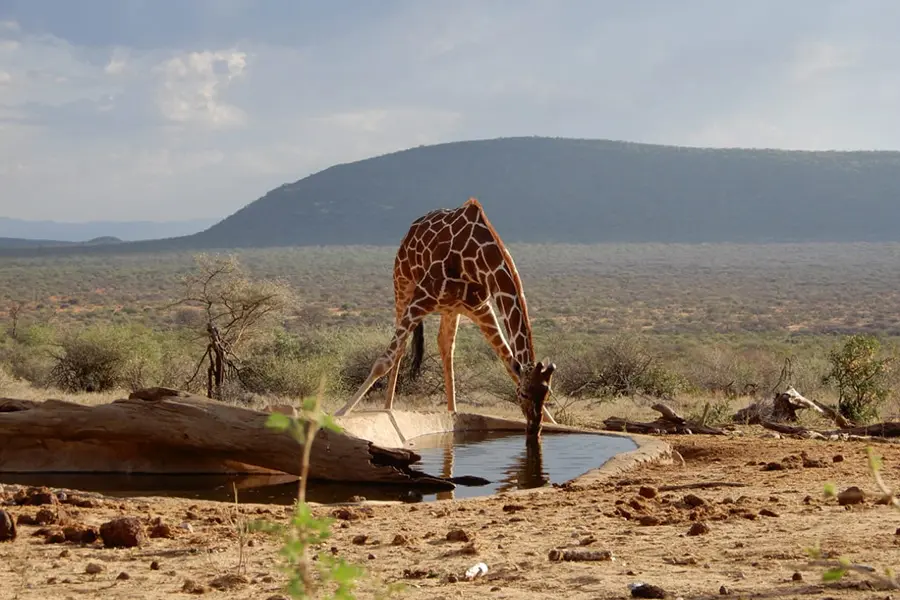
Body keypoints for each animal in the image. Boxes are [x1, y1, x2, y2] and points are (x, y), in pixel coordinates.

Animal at [334, 199, 560, 438]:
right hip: (402, 284)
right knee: (401, 348)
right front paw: (341, 412)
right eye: (523, 394)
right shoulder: (423, 297)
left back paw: (452, 412)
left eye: (547, 394)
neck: (477, 259)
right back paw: (388, 408)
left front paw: (553, 421)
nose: (534, 428)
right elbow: (383, 362)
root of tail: (413, 226)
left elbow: (509, 363)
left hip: (451, 309)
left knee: (445, 346)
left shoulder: (480, 308)